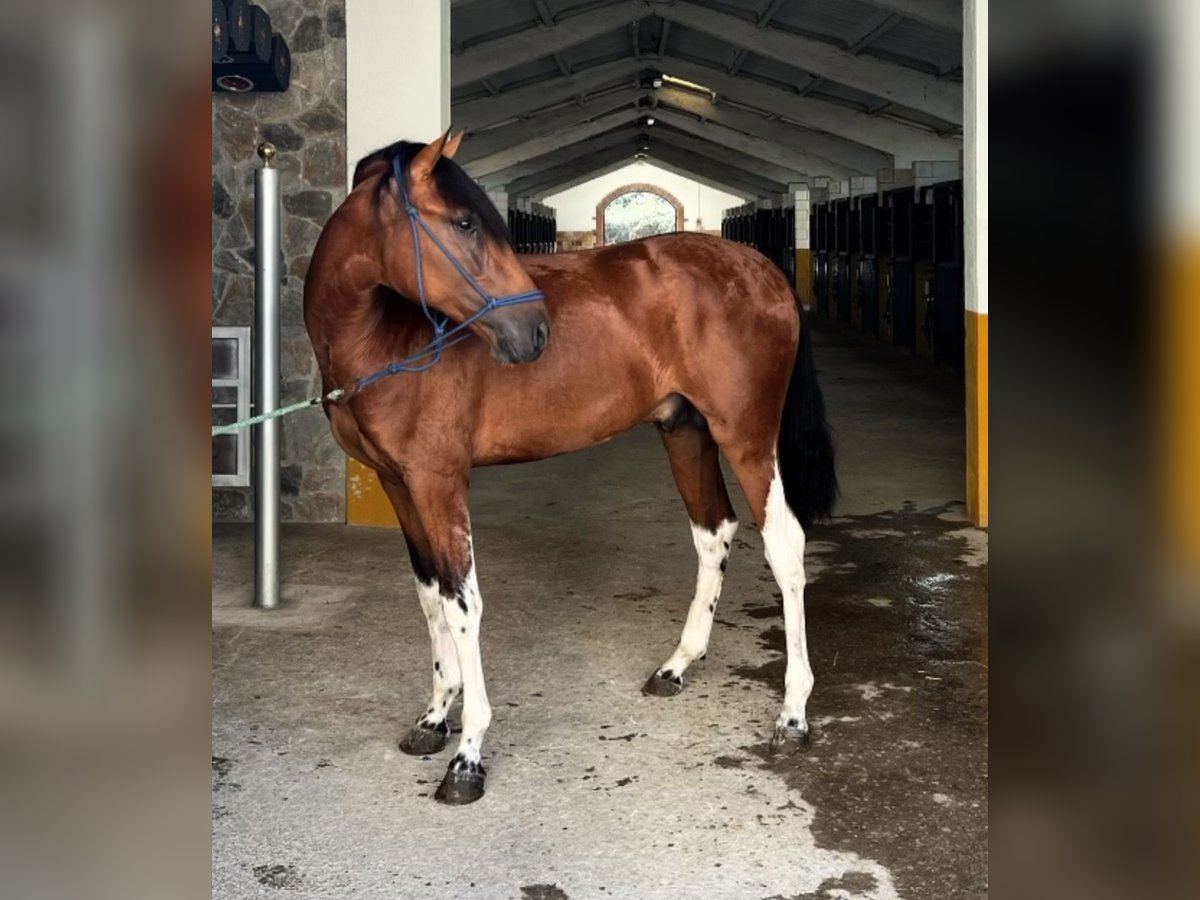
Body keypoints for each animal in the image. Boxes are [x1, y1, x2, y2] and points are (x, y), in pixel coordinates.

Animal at [304, 135, 840, 811]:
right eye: (464, 222)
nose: (534, 333)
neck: (387, 336)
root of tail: (763, 269)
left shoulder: (439, 480)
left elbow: (462, 603)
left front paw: (467, 756)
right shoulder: (399, 483)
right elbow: (430, 595)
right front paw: (433, 718)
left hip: (745, 436)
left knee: (785, 547)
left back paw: (793, 714)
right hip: (685, 431)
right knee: (713, 532)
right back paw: (677, 666)